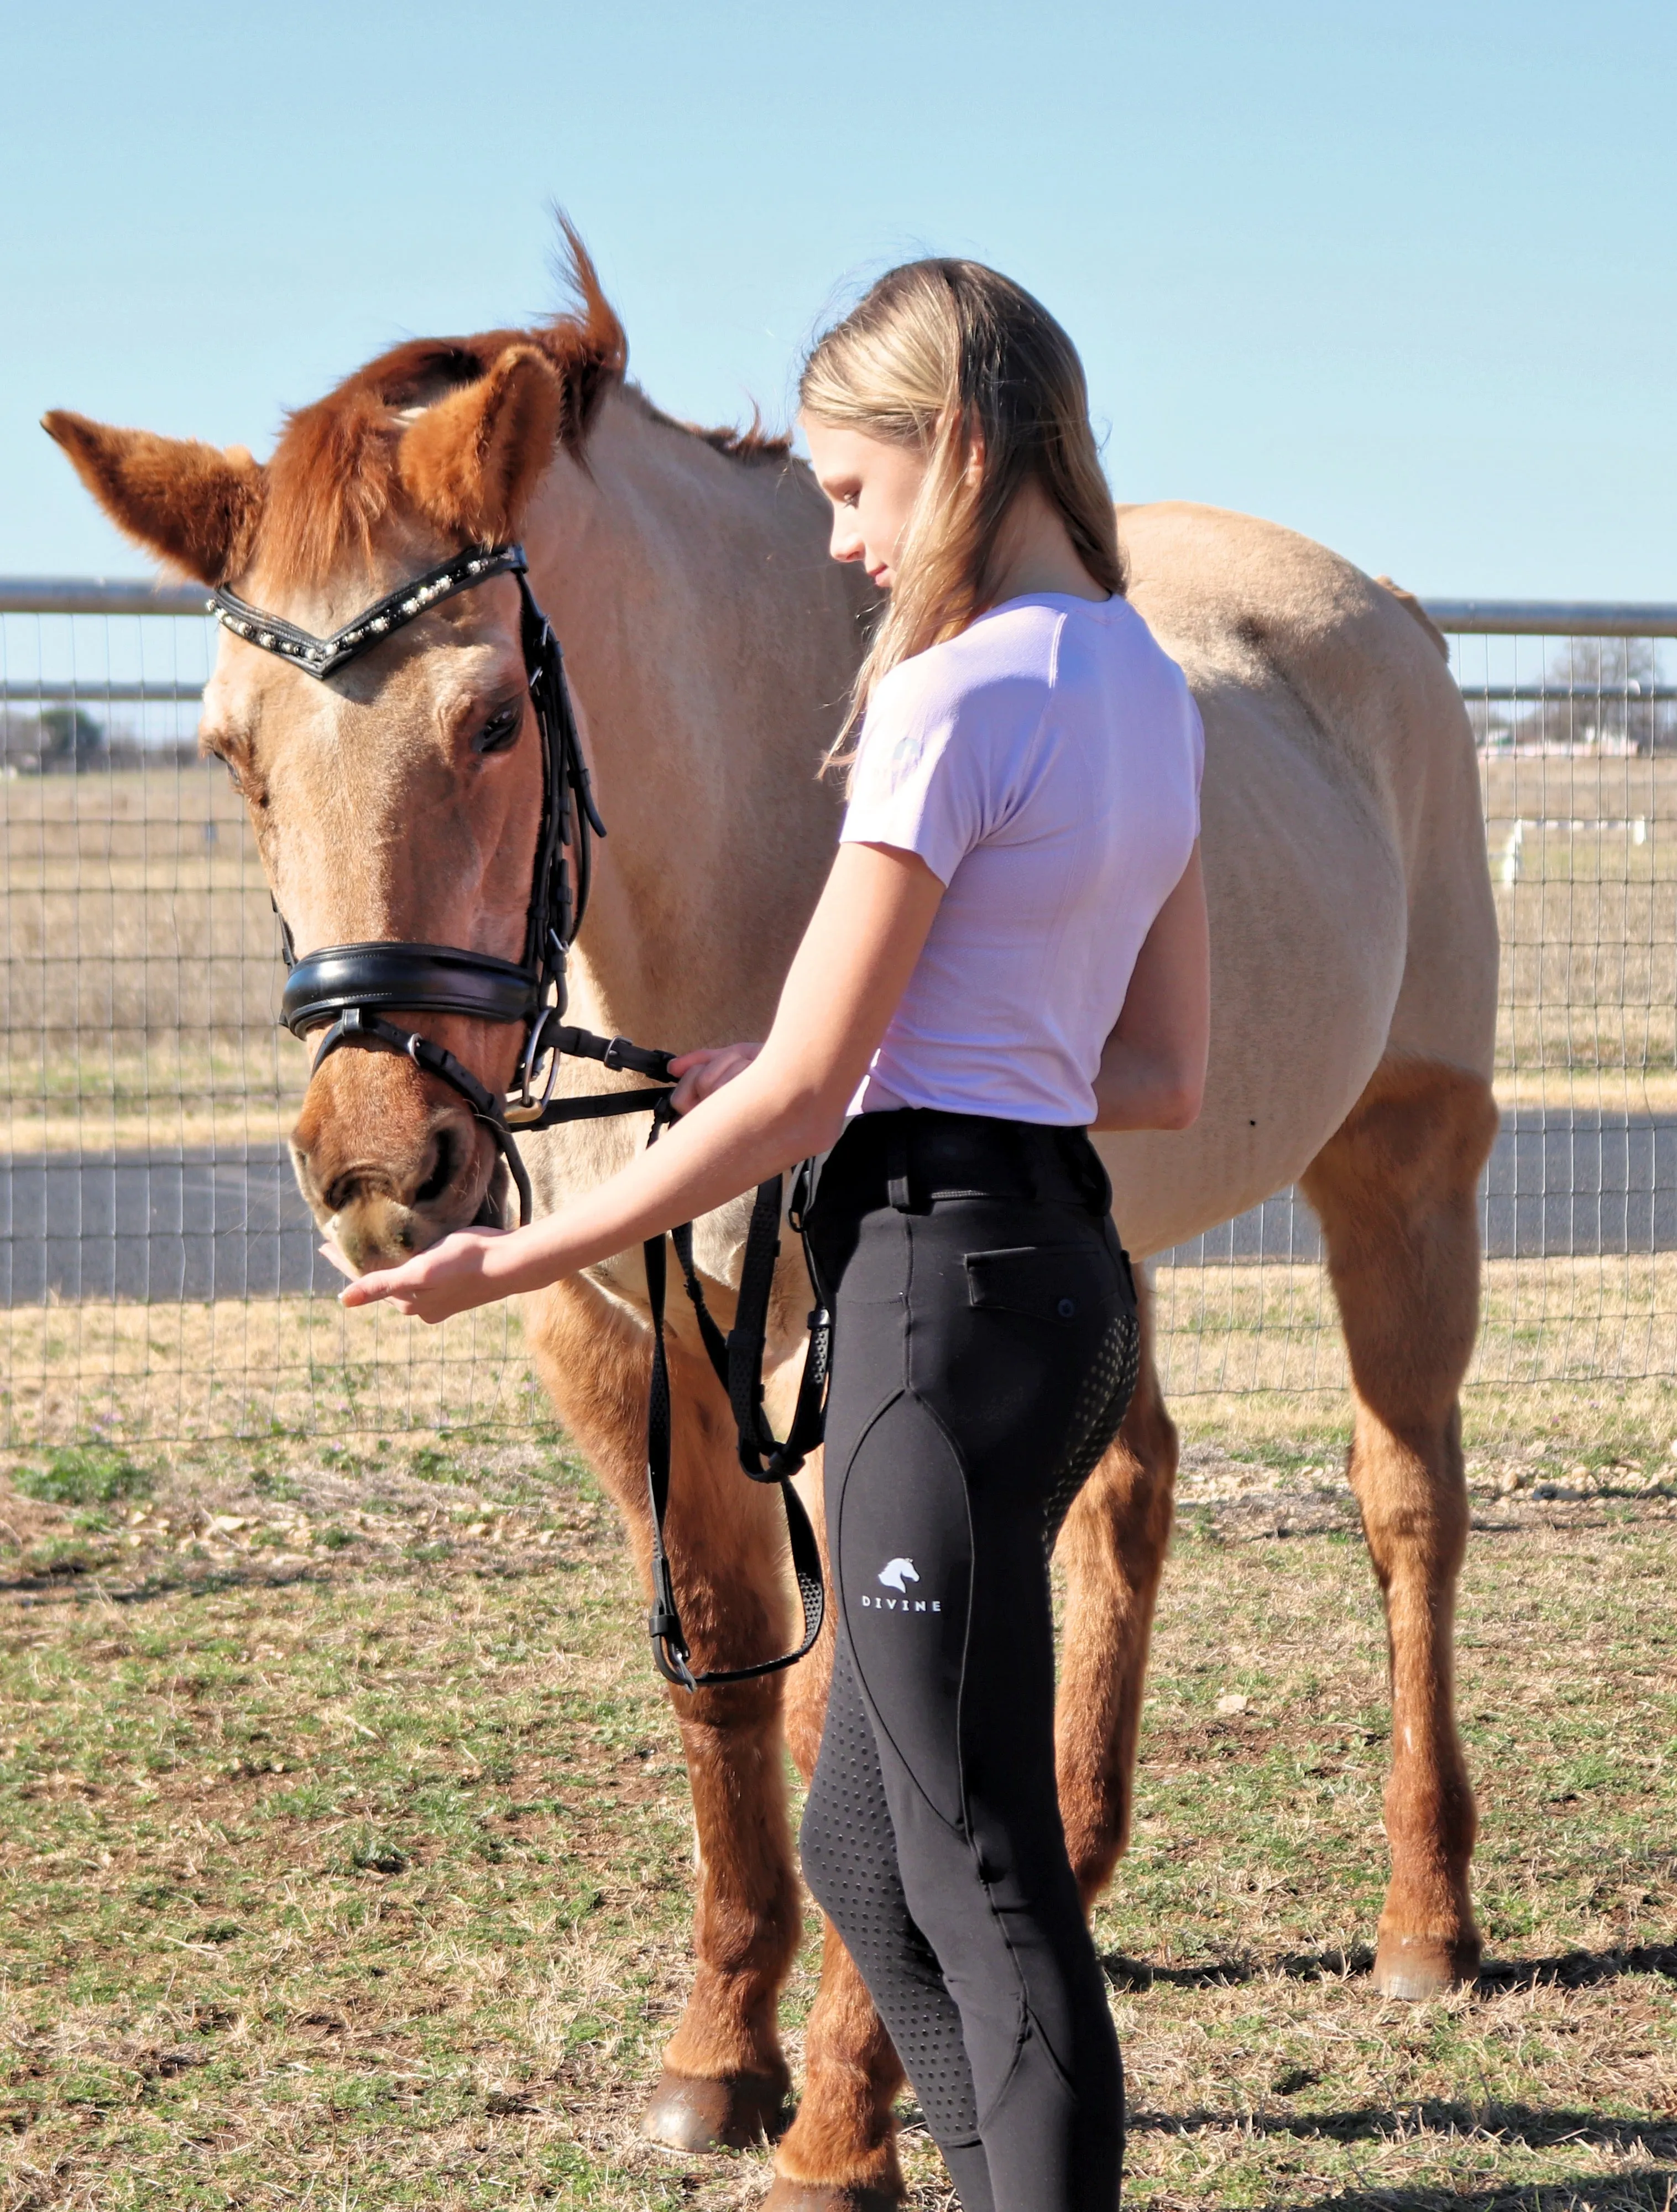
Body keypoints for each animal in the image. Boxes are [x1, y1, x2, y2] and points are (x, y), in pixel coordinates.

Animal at [49, 233, 1495, 2203]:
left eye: (491, 717)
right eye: (225, 752)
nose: (381, 1171)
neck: (736, 867)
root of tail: (1394, 616)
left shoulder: (821, 1355)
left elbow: (841, 1714)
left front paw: (837, 2120)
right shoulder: (617, 1329)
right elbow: (725, 1677)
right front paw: (716, 2053)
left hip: (1405, 1168)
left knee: (1407, 1506)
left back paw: (1428, 1921)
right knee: (1125, 1491)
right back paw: (1088, 1862)